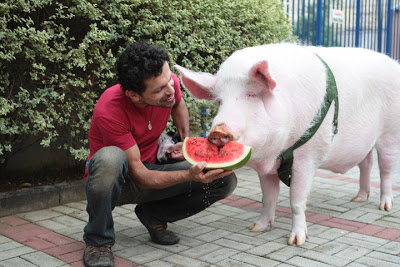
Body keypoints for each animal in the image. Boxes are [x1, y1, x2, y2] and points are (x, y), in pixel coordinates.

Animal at [175, 44, 400, 247]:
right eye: (220, 101)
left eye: (252, 95)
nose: (217, 132)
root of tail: (393, 64)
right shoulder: (267, 168)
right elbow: (268, 198)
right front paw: (256, 228)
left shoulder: (306, 158)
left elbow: (297, 201)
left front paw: (297, 241)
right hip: (366, 144)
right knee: (366, 164)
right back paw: (359, 199)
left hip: (390, 134)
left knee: (386, 171)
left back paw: (385, 207)